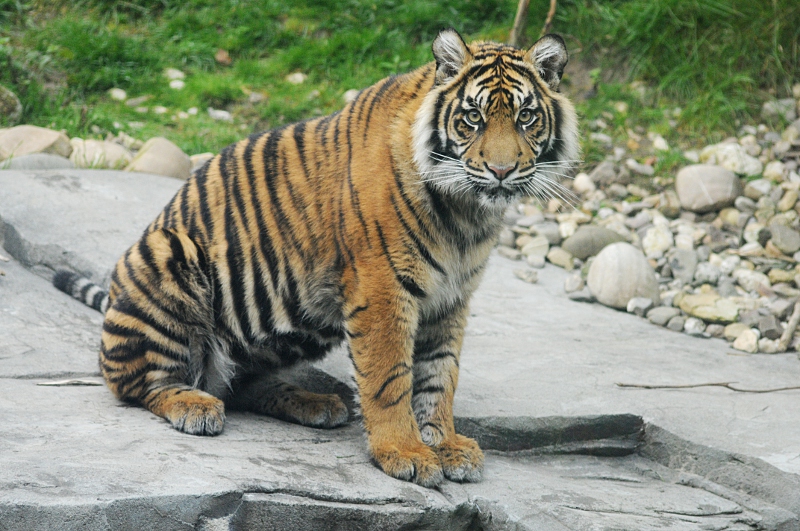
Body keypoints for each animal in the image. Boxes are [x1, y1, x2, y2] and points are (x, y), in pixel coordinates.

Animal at [53, 28, 579, 487]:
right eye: (472, 119)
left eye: (526, 118)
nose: (502, 170)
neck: (467, 214)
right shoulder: (383, 289)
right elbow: (391, 380)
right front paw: (406, 453)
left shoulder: (452, 297)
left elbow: (438, 377)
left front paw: (445, 444)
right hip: (168, 256)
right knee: (139, 383)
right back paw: (195, 407)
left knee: (239, 384)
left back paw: (315, 403)